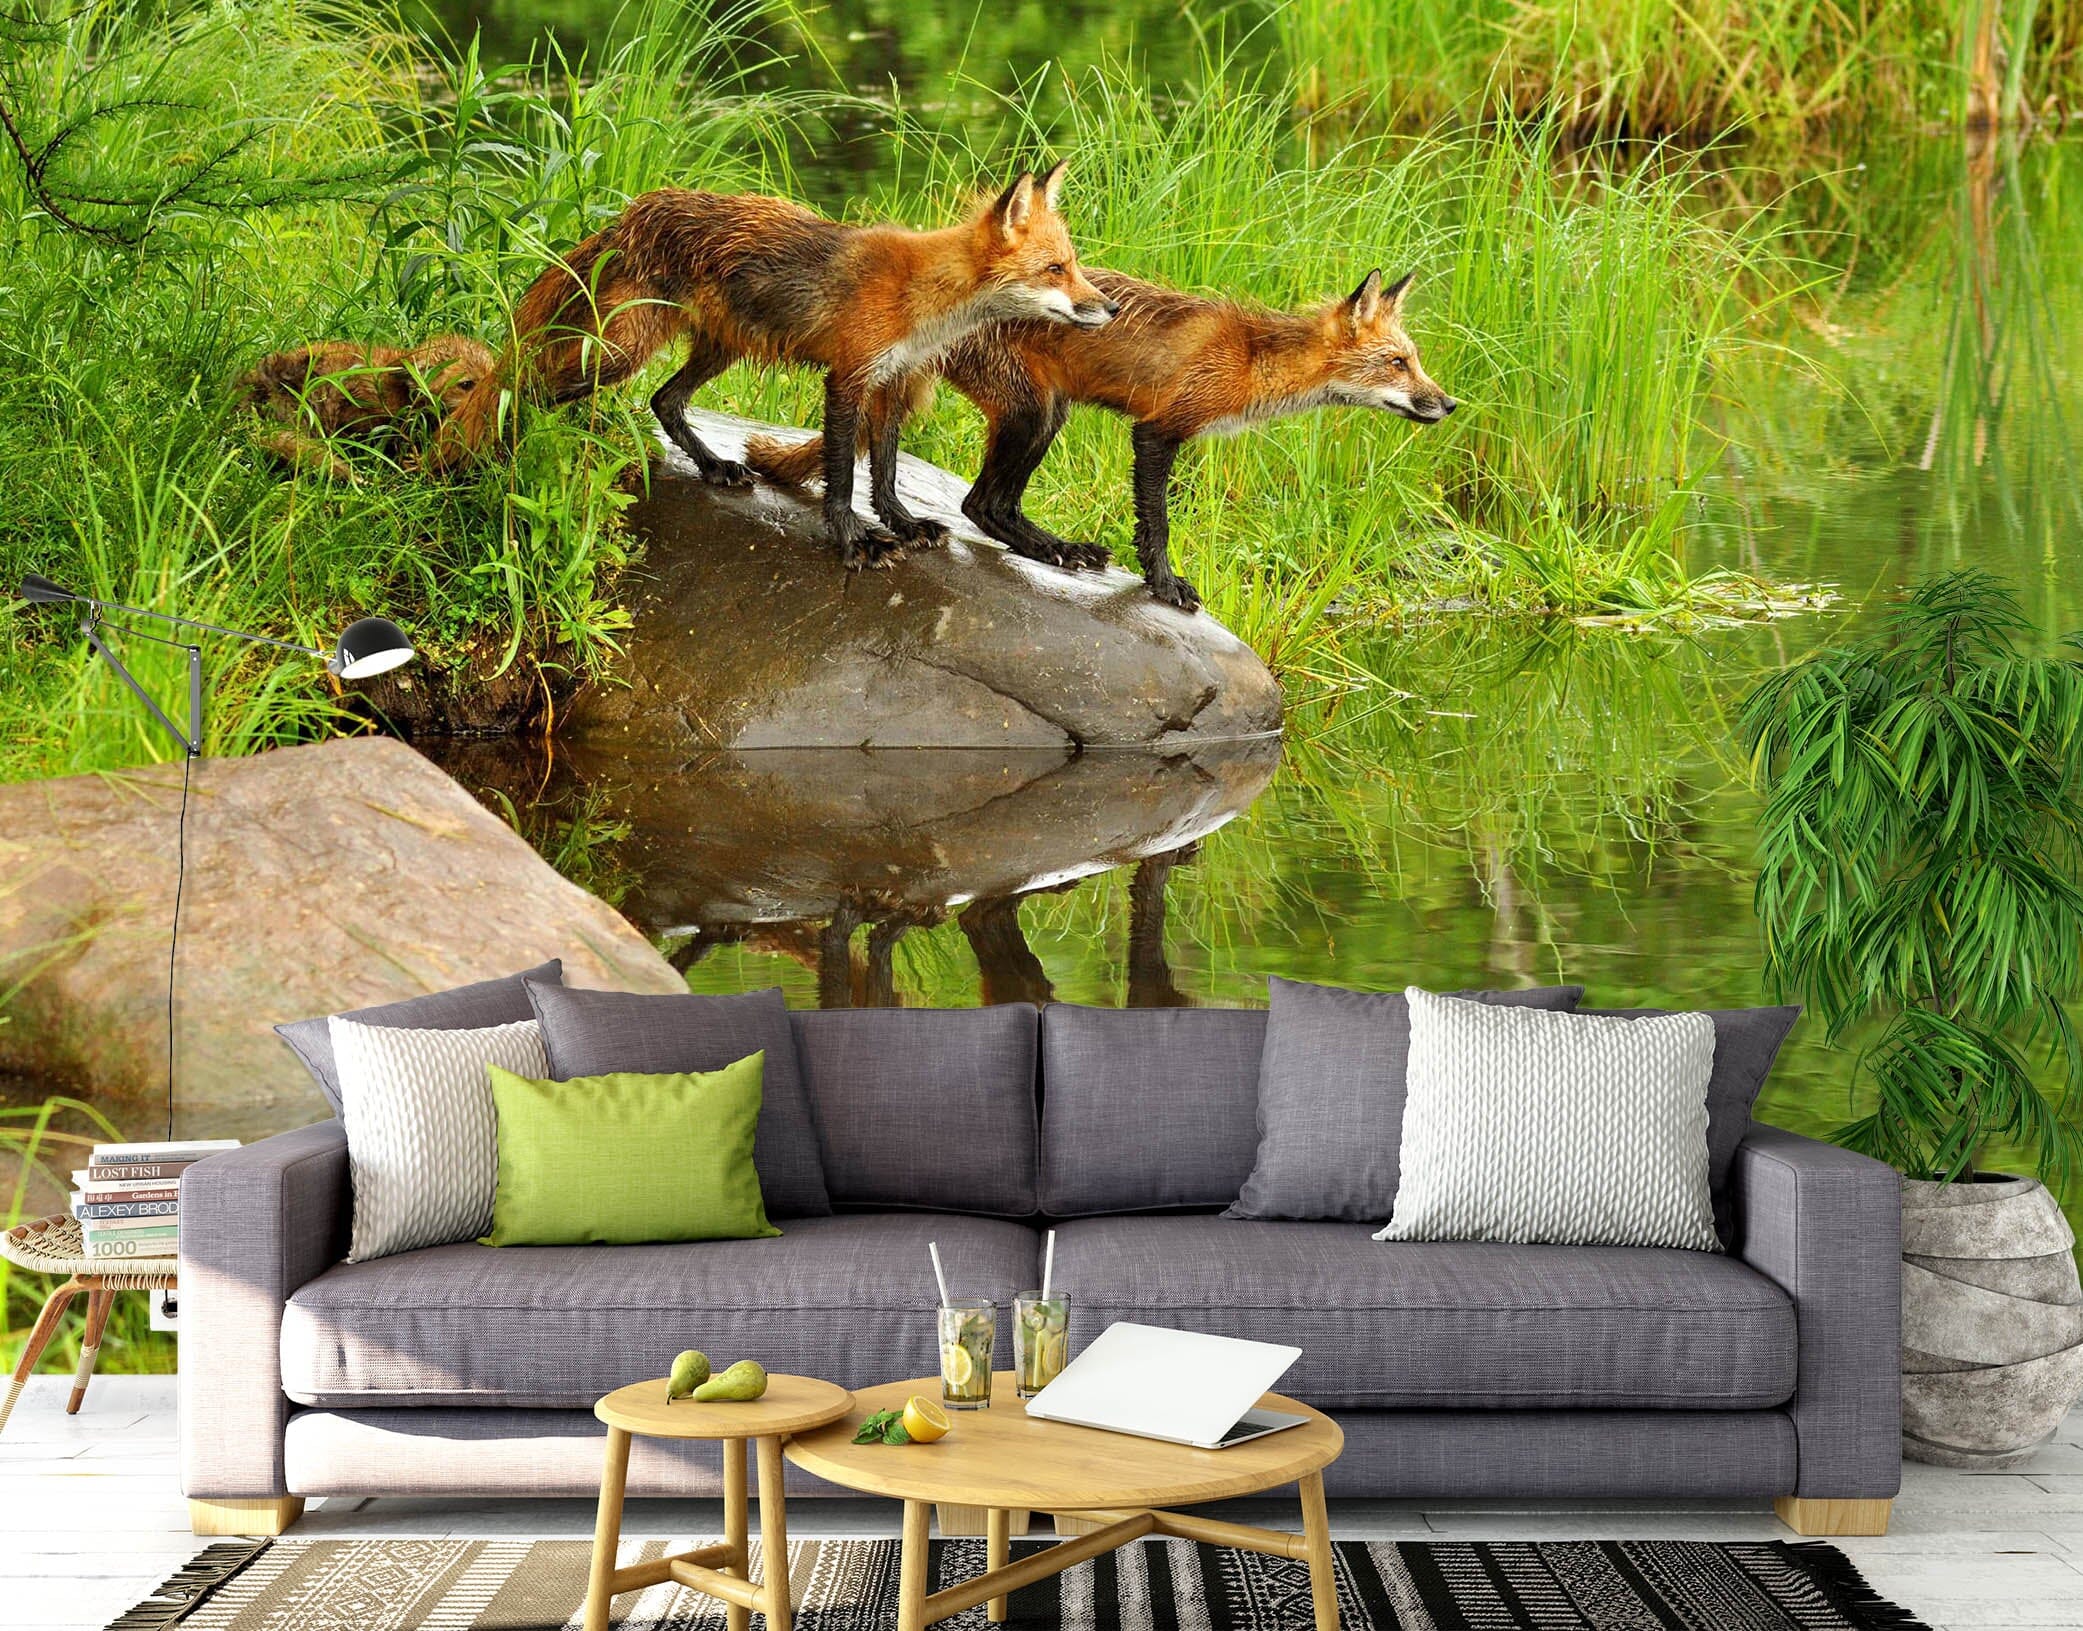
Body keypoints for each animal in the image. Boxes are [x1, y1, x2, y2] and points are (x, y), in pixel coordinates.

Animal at [428, 163, 1117, 568]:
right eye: (1056, 270)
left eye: (1075, 266)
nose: (1109, 309)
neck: (923, 300)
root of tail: (632, 214)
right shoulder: (849, 377)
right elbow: (842, 476)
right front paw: (853, 539)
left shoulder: (891, 380)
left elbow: (886, 470)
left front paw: (901, 523)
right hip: (619, 353)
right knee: (521, 390)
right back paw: (482, 461)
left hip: (717, 347)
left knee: (663, 401)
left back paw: (713, 466)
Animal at [744, 267, 1454, 609]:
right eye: (1398, 364)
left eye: (1416, 361)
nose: (1448, 403)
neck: (1252, 360)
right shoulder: (1159, 429)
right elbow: (1158, 524)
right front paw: (1164, 587)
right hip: (1033, 412)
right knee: (981, 503)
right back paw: (1056, 550)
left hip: (1037, 413)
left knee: (947, 486)